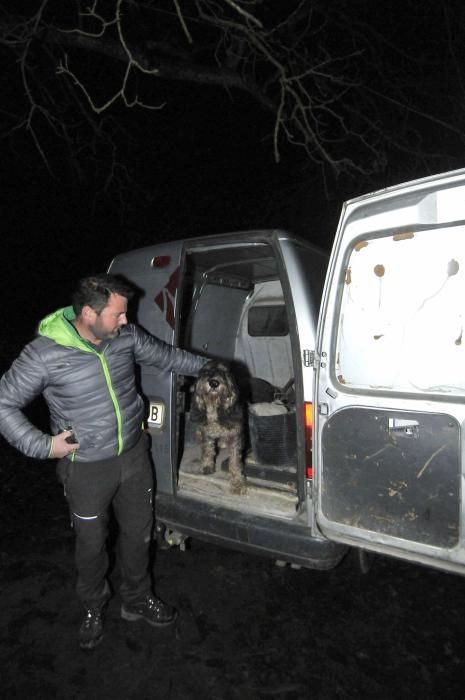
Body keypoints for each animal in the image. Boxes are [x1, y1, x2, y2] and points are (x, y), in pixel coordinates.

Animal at [189, 364, 245, 494]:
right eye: (206, 371)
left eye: (224, 372)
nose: (214, 383)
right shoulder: (206, 432)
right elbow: (208, 449)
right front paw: (207, 465)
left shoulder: (235, 435)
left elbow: (235, 460)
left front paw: (237, 482)